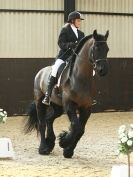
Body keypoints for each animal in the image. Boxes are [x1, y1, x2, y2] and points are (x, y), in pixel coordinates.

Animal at [24, 29, 109, 158]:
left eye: (107, 49)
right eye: (96, 48)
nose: (103, 70)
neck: (81, 78)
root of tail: (41, 72)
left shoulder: (86, 107)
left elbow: (80, 130)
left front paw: (68, 150)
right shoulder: (69, 104)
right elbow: (75, 126)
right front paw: (64, 142)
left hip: (57, 106)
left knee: (49, 119)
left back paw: (50, 142)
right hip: (40, 101)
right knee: (42, 122)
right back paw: (43, 148)